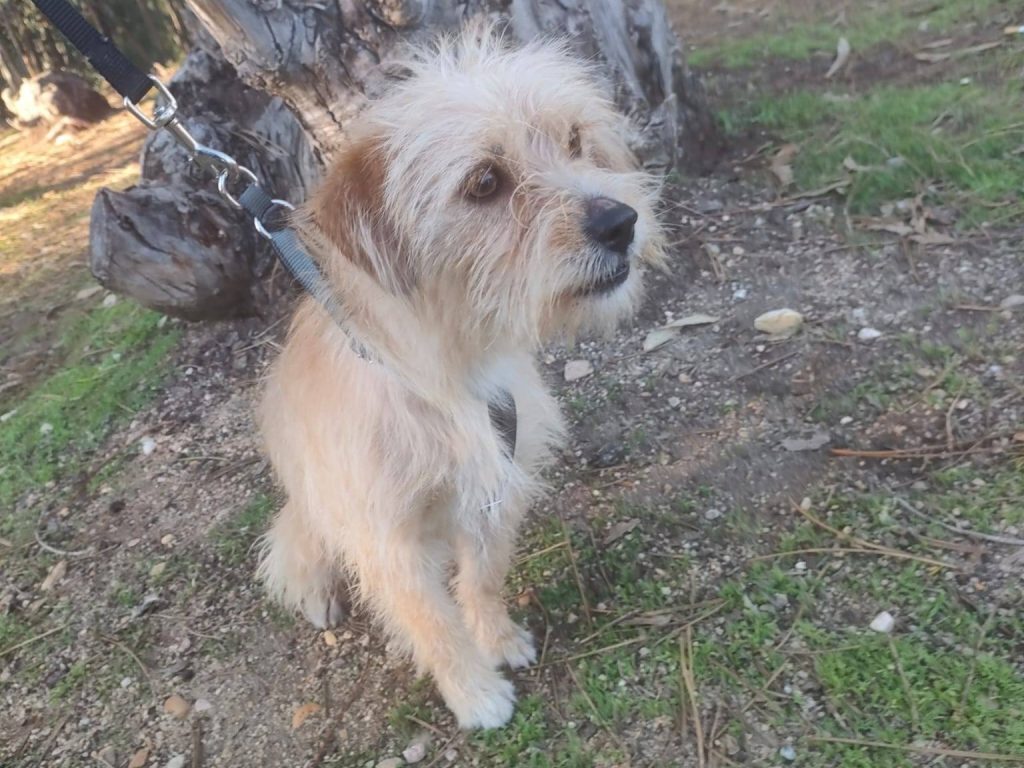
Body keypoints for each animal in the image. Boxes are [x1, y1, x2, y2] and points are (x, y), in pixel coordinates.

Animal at [257, 25, 663, 729]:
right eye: (484, 181)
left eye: (575, 140)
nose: (621, 222)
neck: (448, 371)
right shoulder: (386, 538)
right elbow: (431, 622)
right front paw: (474, 693)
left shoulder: (497, 487)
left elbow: (483, 577)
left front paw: (496, 639)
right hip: (312, 519)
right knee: (295, 552)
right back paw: (315, 593)